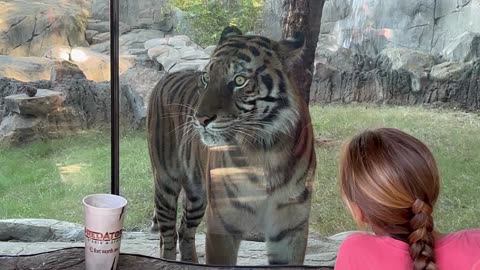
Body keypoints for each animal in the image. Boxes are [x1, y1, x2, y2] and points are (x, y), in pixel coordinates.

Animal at [148, 26, 316, 264]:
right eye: (206, 78)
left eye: (239, 80)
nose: (200, 118)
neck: (265, 150)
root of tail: (167, 76)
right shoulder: (223, 222)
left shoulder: (290, 225)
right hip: (166, 183)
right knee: (168, 236)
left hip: (197, 196)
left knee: (185, 230)